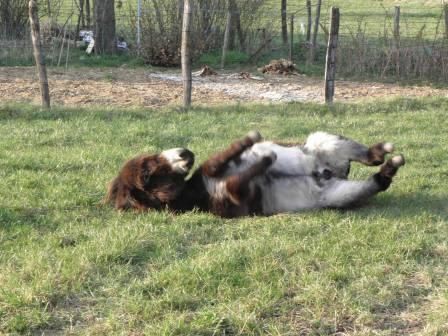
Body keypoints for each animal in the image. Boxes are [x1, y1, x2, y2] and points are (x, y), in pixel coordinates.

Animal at [103, 131, 404, 218]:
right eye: (149, 169)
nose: (186, 151)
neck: (195, 192)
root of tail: (329, 173)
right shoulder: (237, 195)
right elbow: (231, 173)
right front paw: (264, 160)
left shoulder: (219, 170)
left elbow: (223, 158)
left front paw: (250, 144)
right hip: (336, 197)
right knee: (378, 180)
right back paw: (390, 164)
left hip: (321, 141)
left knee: (367, 155)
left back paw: (382, 150)